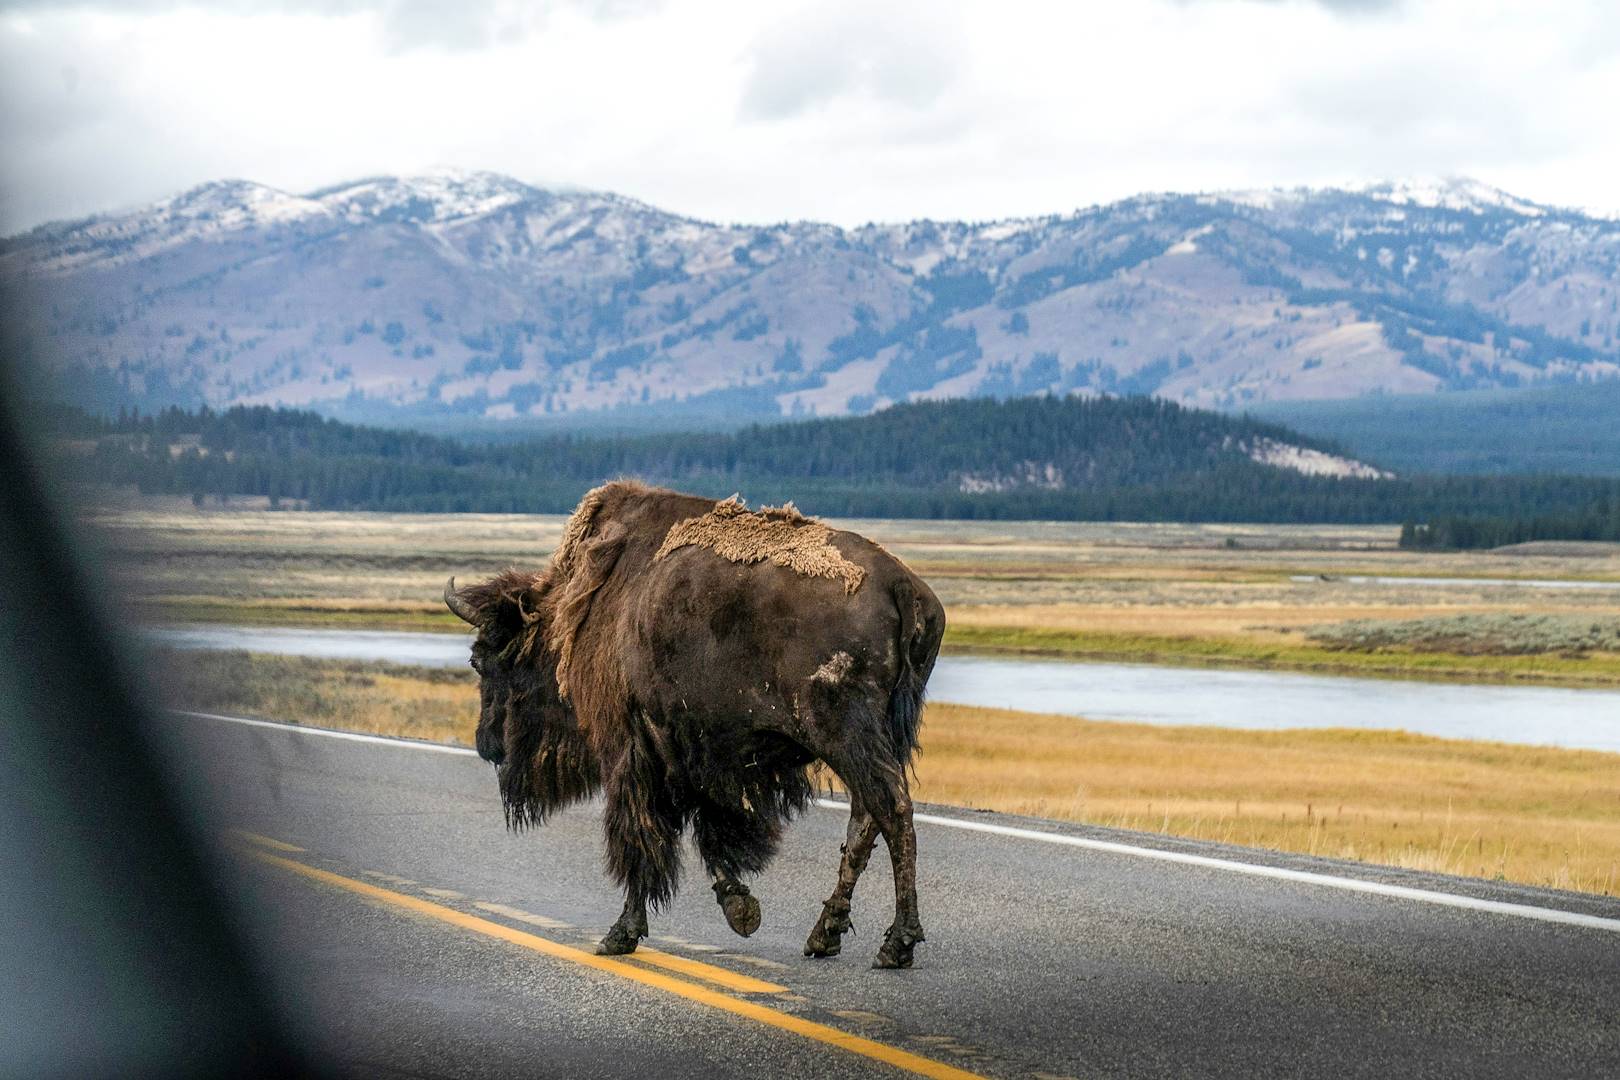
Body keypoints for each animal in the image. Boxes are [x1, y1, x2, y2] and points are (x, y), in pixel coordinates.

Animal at [444, 481, 945, 968]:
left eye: (482, 661)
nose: (487, 744)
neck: (582, 605)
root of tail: (902, 585)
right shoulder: (696, 756)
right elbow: (704, 828)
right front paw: (741, 909)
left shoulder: (632, 749)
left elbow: (644, 836)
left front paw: (620, 934)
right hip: (880, 739)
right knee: (866, 821)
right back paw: (824, 936)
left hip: (845, 735)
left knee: (892, 811)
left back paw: (897, 944)